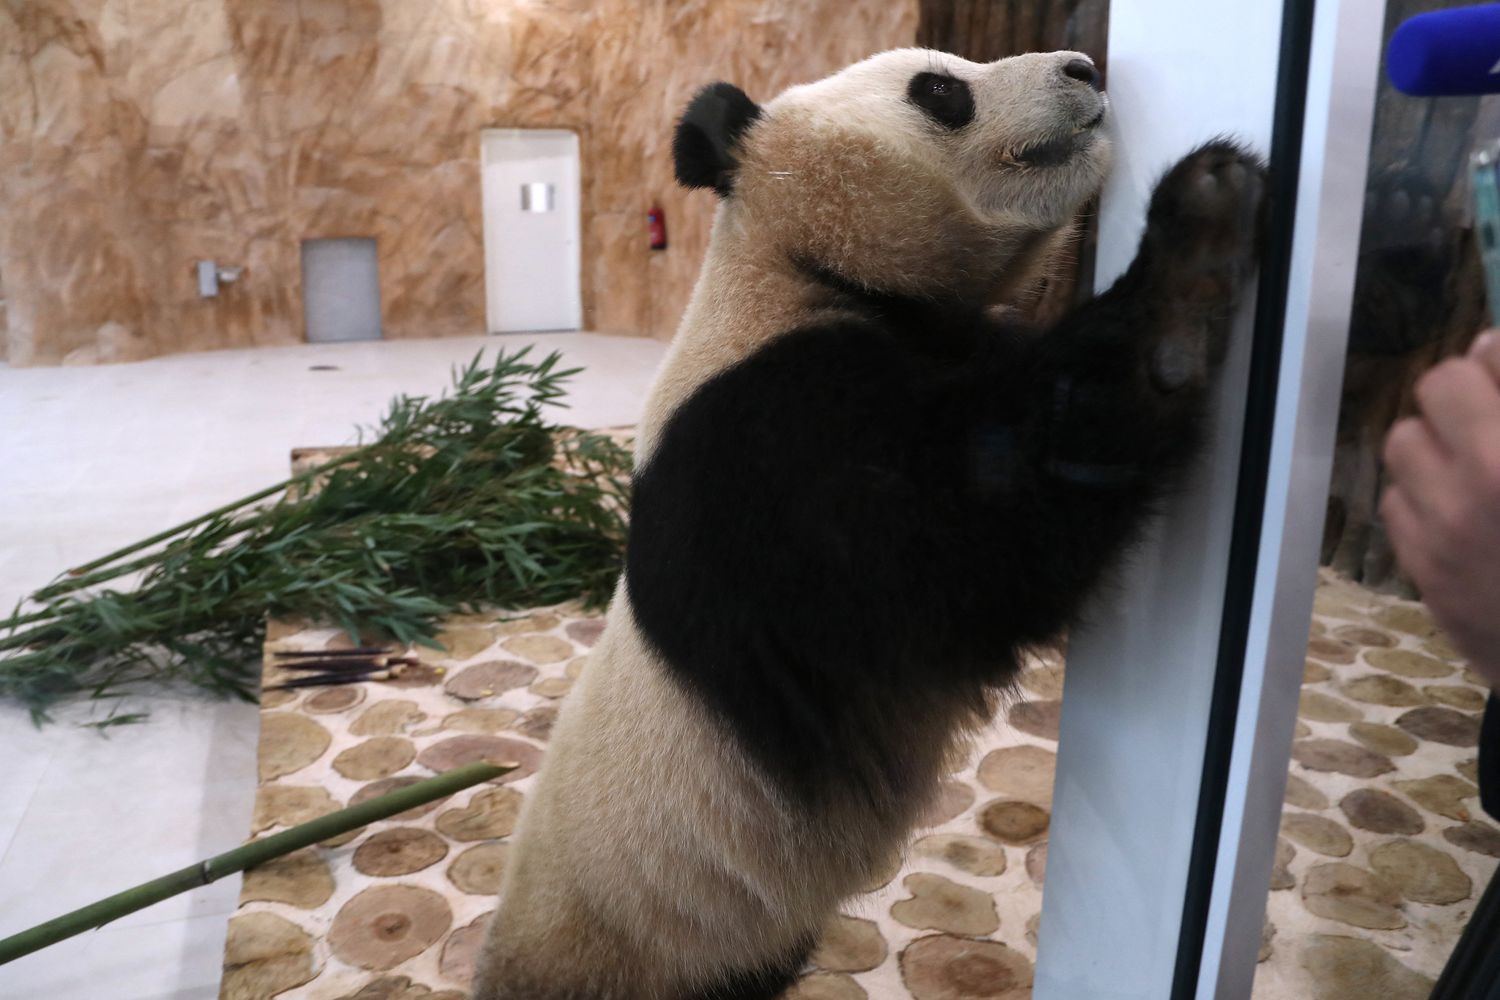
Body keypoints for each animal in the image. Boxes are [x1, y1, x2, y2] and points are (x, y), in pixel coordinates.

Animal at [473, 47, 1264, 1000]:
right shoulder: (766, 449)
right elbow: (979, 536)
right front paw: (1203, 223)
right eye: (942, 89)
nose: (1081, 66)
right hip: (633, 945)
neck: (795, 265)